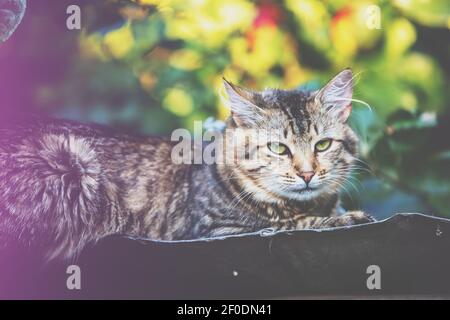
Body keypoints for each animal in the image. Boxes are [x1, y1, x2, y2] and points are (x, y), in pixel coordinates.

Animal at [0, 68, 372, 260]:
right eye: (278, 148)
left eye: (322, 145)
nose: (307, 173)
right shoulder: (219, 231)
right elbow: (292, 225)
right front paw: (346, 219)